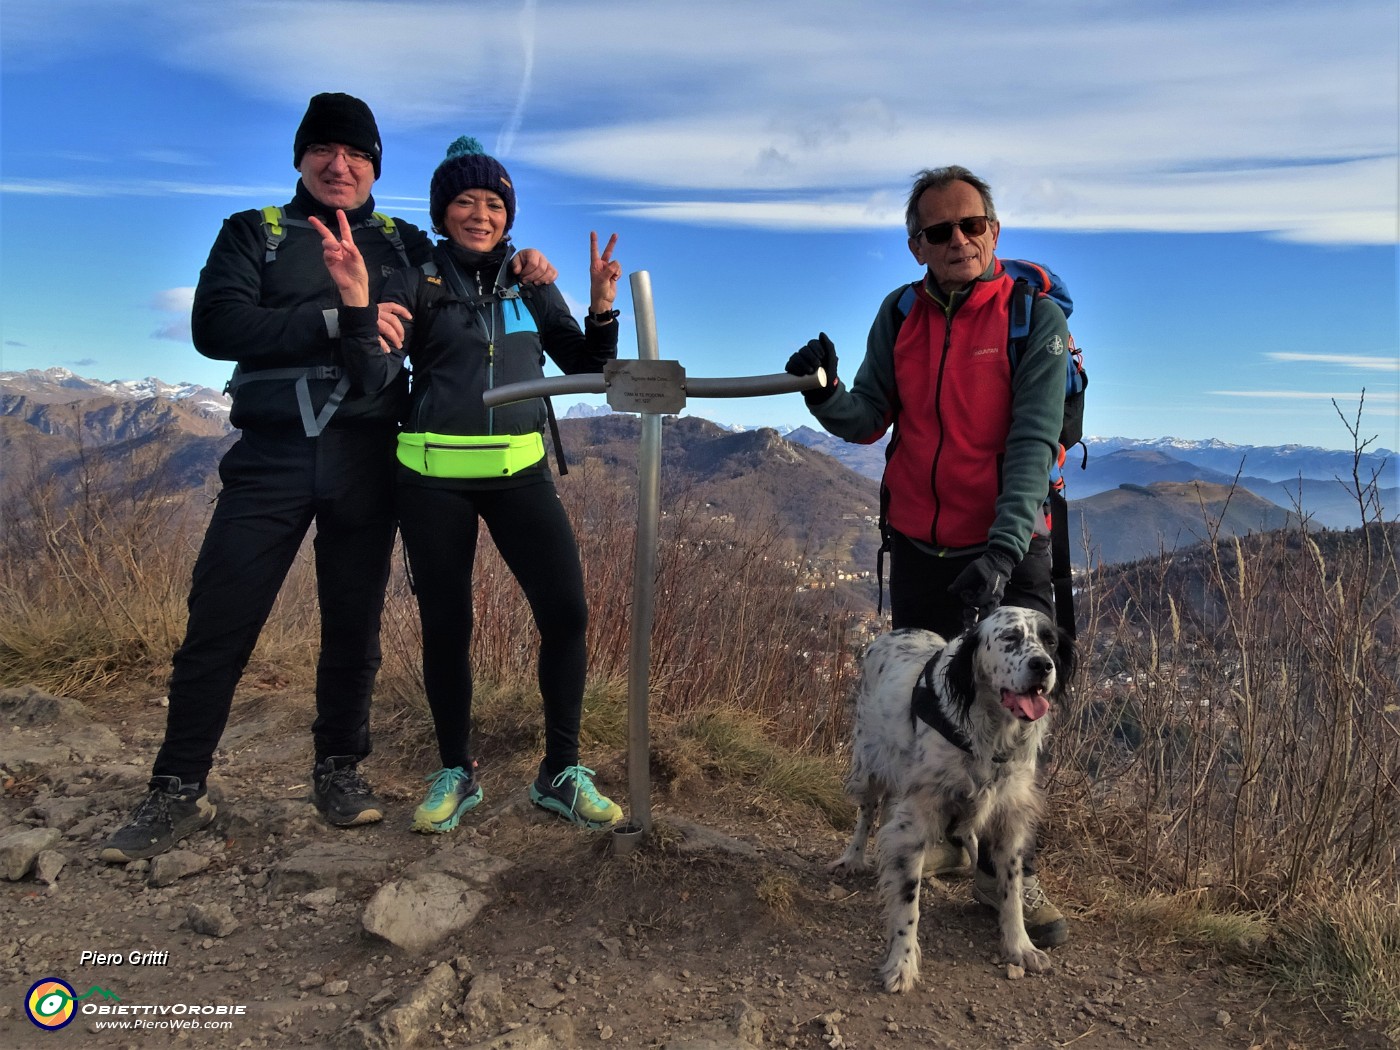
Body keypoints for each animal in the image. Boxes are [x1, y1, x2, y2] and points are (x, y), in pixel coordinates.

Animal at [823, 607, 1075, 996]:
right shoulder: (917, 815)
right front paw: (902, 964)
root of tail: (894, 632)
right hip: (869, 764)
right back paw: (853, 857)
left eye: (1050, 641)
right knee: (867, 813)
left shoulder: (1009, 816)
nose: (1043, 666)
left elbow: (1012, 891)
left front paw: (1020, 946)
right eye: (1010, 637)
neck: (991, 732)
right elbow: (908, 904)